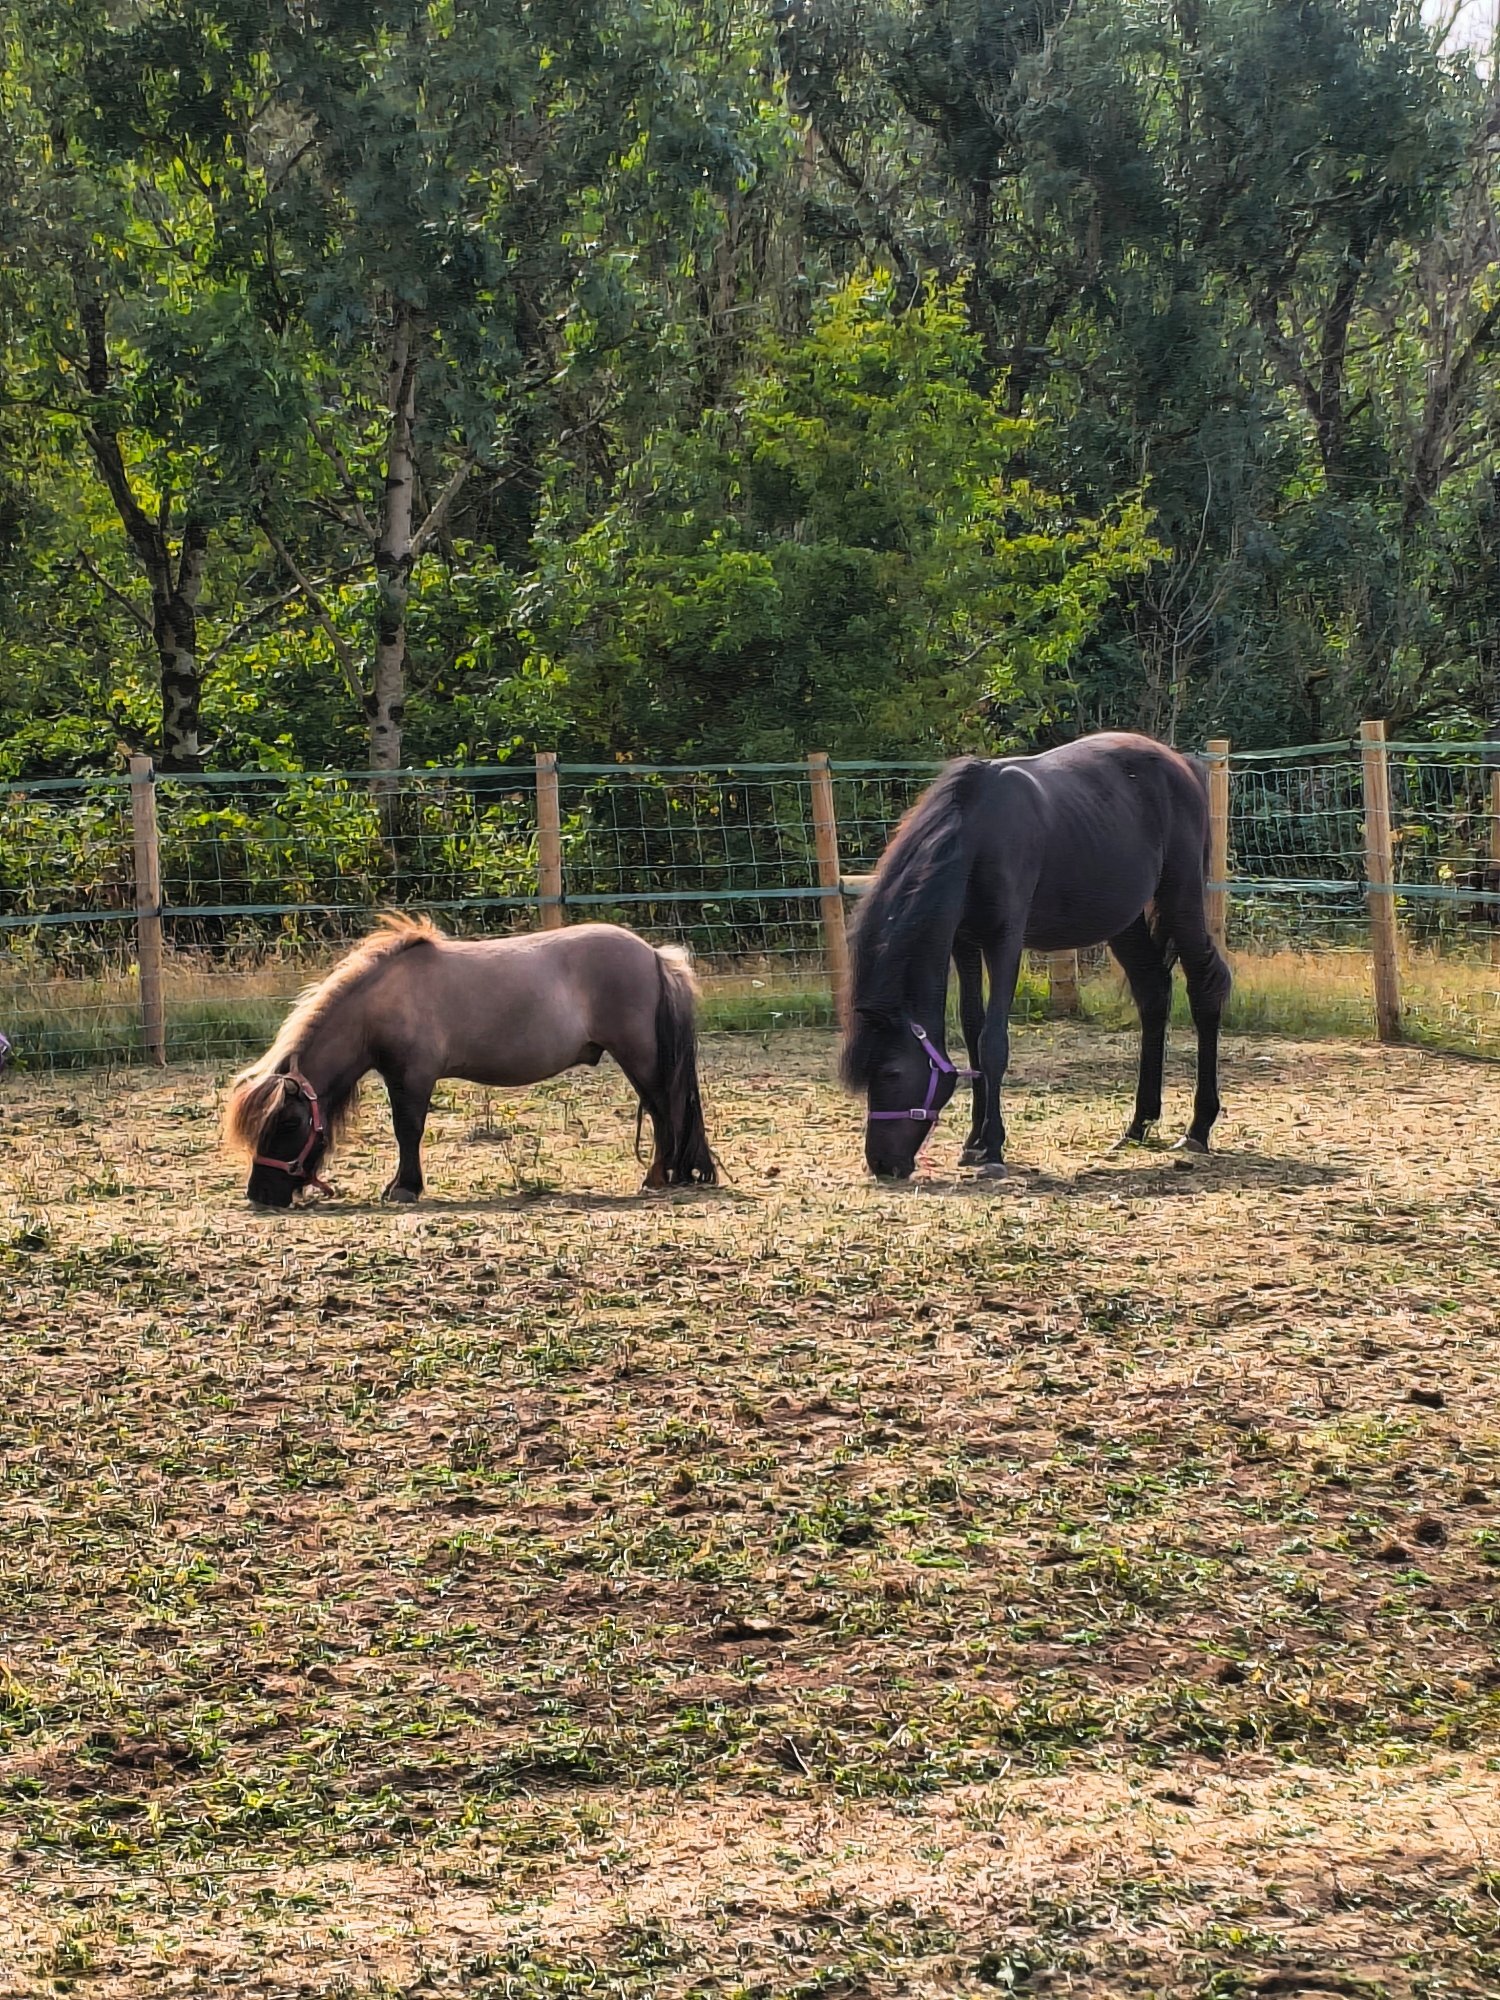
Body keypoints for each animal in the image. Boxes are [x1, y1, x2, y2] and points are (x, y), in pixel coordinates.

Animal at [224, 915, 717, 1206]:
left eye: (288, 1123)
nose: (260, 1194)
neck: (382, 999)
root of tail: (654, 956)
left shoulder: (413, 1077)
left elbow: (408, 1130)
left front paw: (404, 1188)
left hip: (641, 1057)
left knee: (665, 1111)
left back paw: (658, 1177)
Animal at [842, 732, 1231, 1180]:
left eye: (890, 1072)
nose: (882, 1164)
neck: (978, 832)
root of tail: (1183, 764)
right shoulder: (965, 942)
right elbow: (972, 1031)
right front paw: (973, 1142)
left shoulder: (1004, 942)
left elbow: (992, 1042)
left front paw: (993, 1148)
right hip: (1125, 920)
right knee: (1153, 992)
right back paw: (1138, 1126)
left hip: (1181, 897)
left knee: (1206, 986)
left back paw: (1198, 1128)